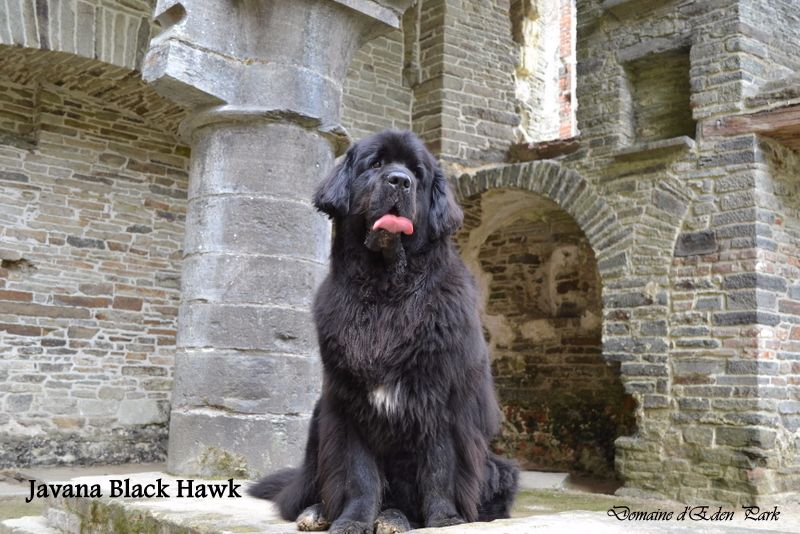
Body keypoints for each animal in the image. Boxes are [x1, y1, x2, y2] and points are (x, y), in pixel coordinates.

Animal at [250, 131, 520, 534]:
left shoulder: (442, 401)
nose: (399, 181)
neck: (386, 292)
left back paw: (395, 517)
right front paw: (352, 521)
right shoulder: (349, 406)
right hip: (318, 422)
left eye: (417, 173)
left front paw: (445, 520)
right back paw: (317, 511)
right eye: (376, 164)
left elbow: (440, 467)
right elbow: (360, 475)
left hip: (500, 469)